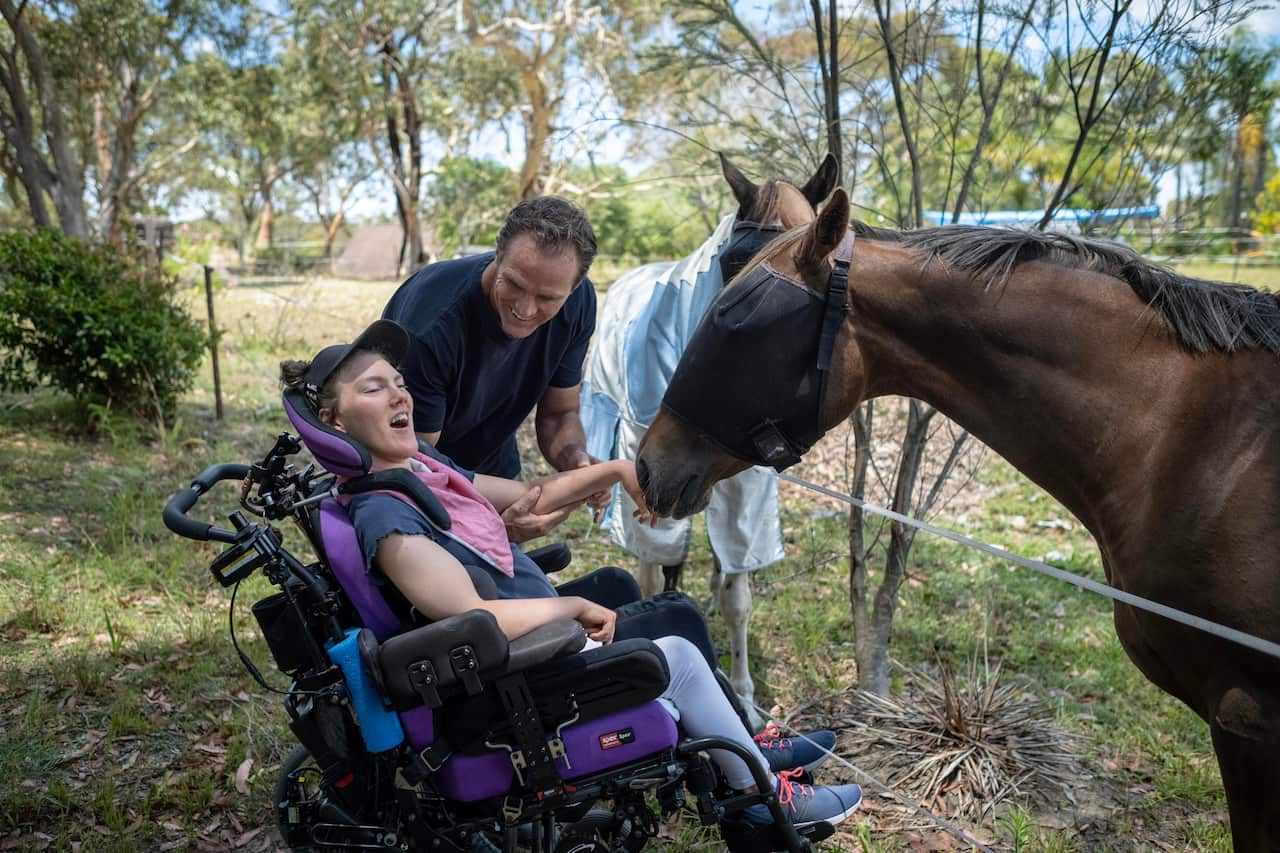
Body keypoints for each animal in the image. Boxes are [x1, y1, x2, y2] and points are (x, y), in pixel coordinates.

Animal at [581, 152, 838, 720]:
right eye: (736, 258)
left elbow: (738, 596)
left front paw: (742, 694)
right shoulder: (648, 468)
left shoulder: (745, 490)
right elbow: (655, 566)